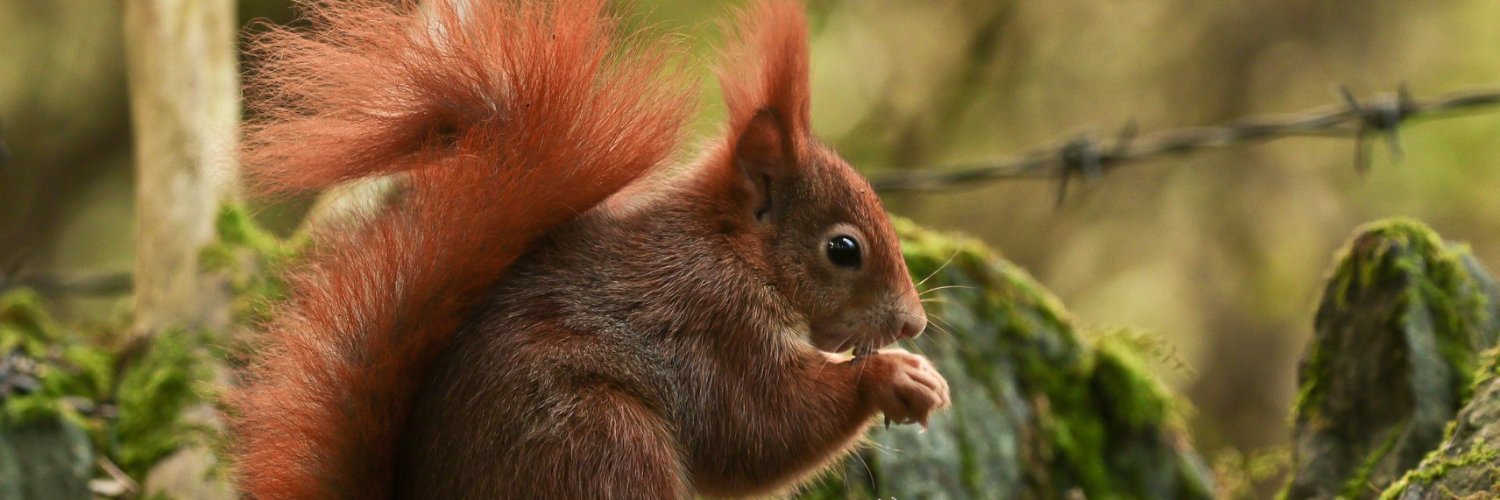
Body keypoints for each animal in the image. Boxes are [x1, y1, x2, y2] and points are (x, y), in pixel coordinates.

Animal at [230, 0, 950, 498]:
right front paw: (894, 376)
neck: (732, 251)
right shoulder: (710, 322)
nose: (913, 323)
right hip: (600, 441)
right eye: (844, 248)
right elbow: (759, 427)